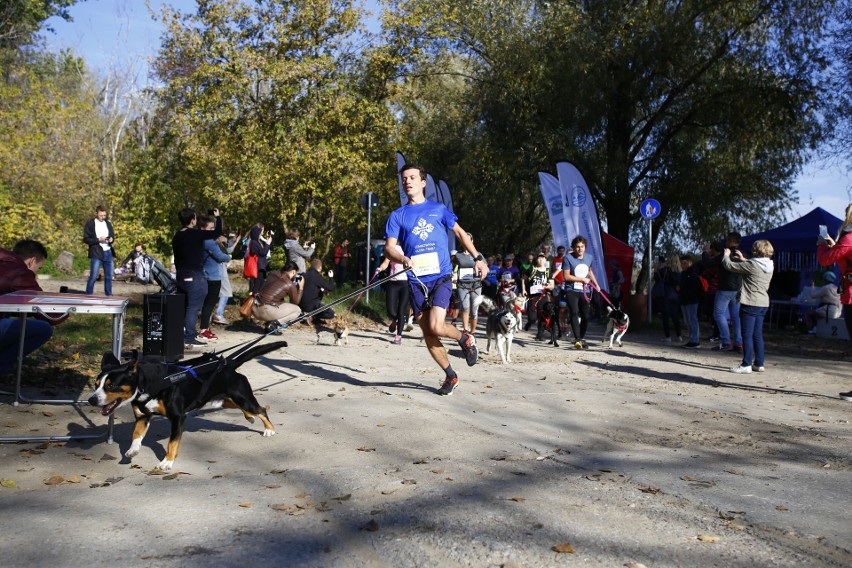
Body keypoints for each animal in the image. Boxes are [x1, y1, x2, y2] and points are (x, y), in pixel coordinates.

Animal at [88, 340, 290, 468]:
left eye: (111, 385)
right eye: (96, 385)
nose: (91, 400)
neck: (153, 384)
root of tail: (228, 364)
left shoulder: (178, 418)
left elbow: (172, 442)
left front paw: (167, 461)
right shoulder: (142, 417)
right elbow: (136, 435)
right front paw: (132, 451)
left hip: (242, 398)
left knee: (261, 409)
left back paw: (269, 429)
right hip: (223, 401)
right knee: (246, 409)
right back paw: (249, 418)